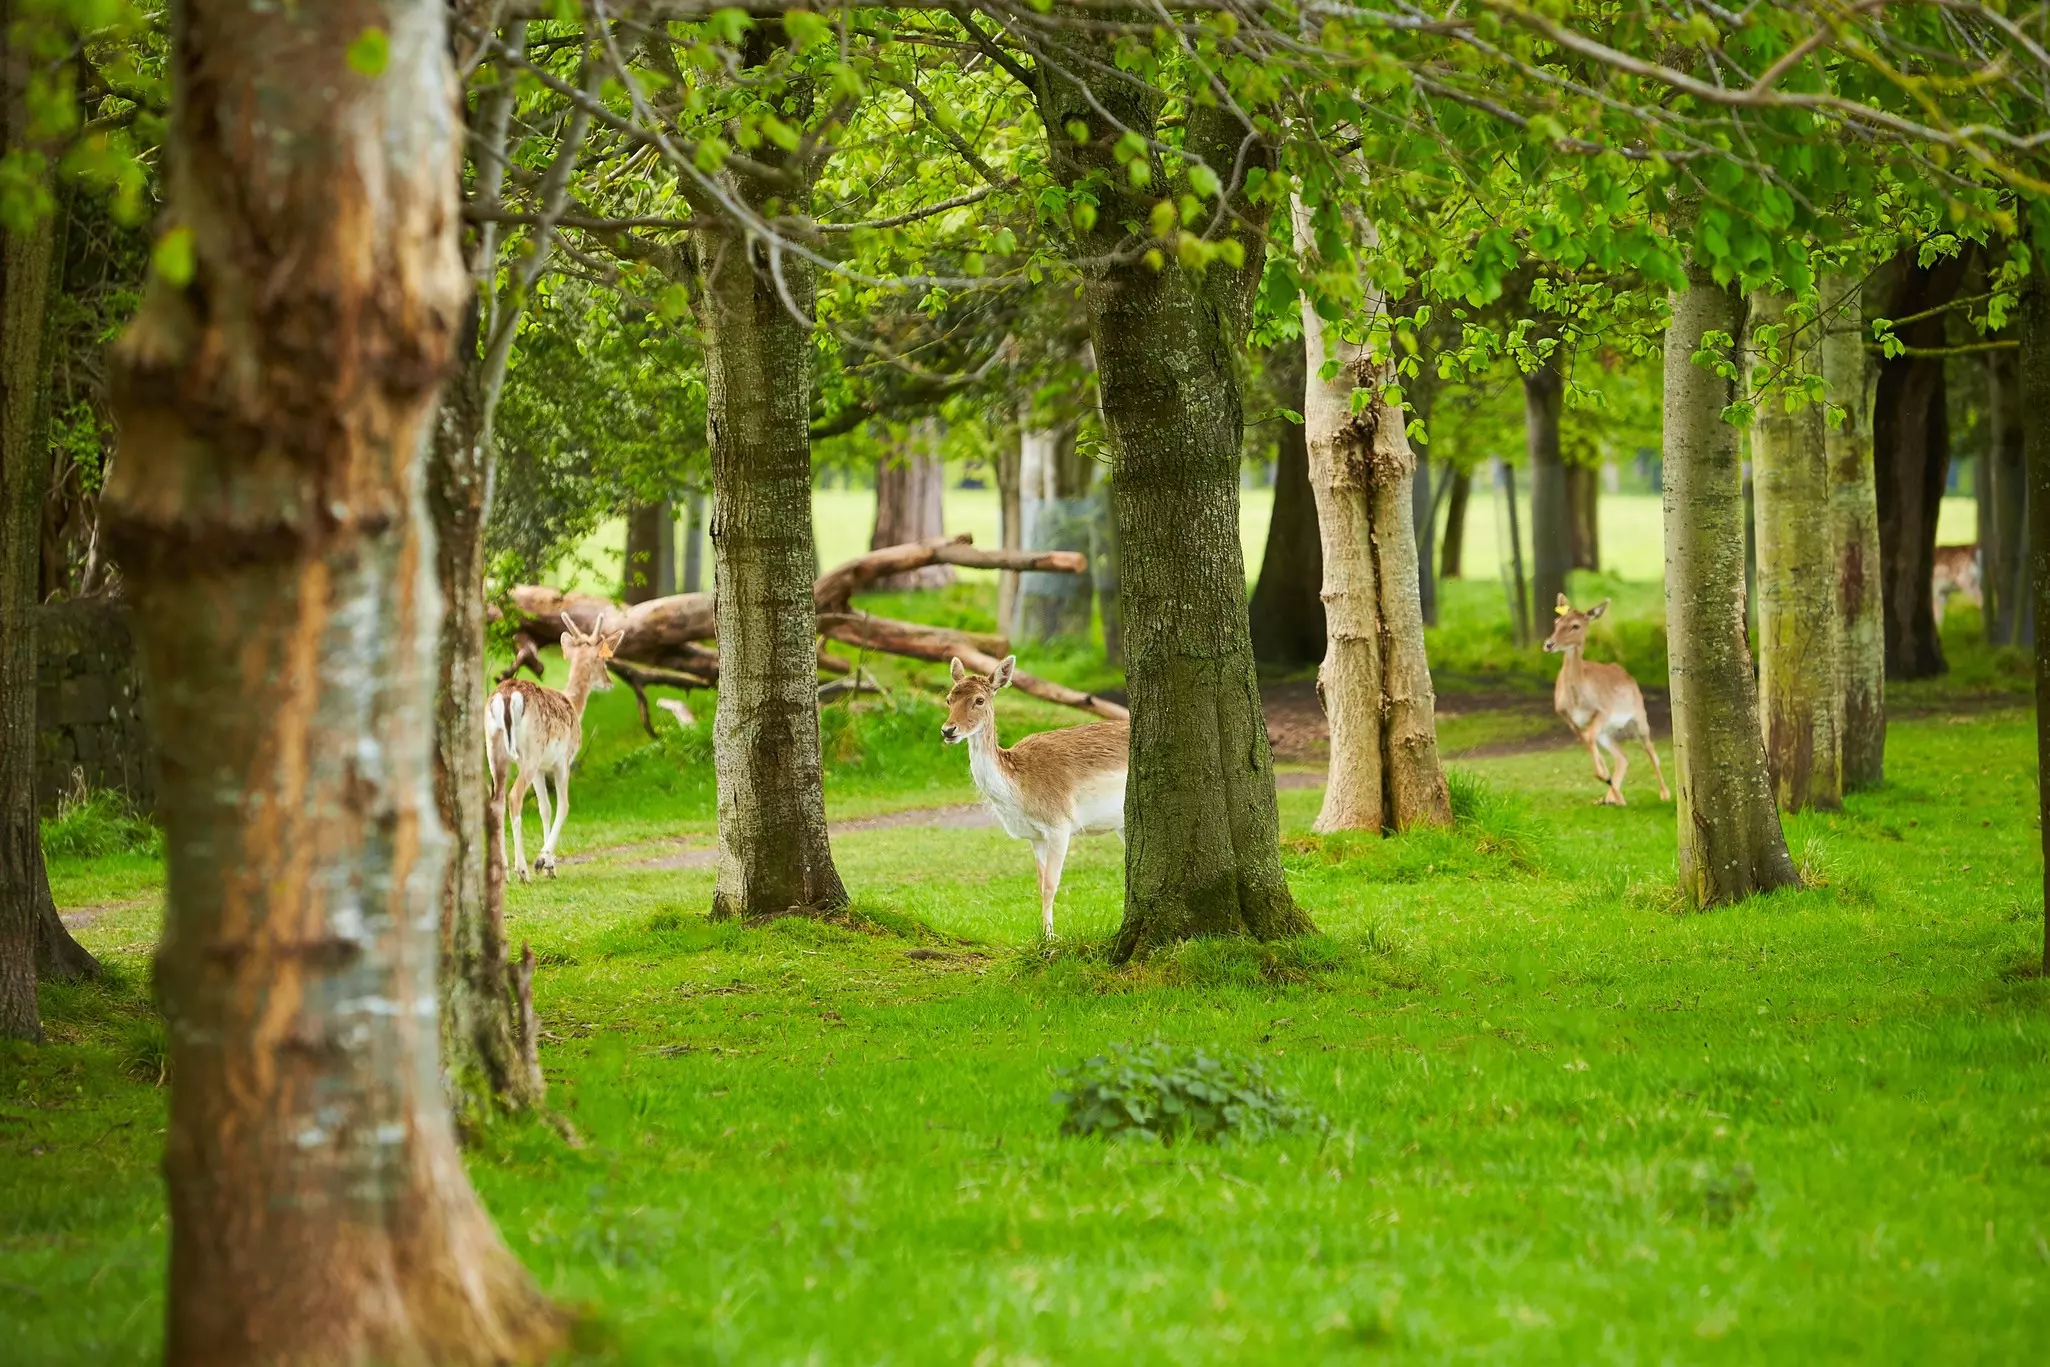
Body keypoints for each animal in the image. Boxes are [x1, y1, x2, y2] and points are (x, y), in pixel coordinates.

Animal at [485, 613, 622, 881]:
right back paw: (522, 870)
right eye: (604, 661)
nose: (610, 683)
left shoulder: (542, 768)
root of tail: (505, 697)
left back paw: (503, 871)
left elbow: (545, 808)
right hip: (529, 752)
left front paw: (549, 865)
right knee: (514, 797)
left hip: (494, 748)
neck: (573, 704)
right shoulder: (563, 761)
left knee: (496, 801)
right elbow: (564, 806)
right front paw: (543, 862)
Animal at [941, 656, 1128, 938]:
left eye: (979, 700)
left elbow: (1051, 884)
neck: (1020, 792)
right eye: (948, 699)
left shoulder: (1060, 824)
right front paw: (1043, 934)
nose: (948, 730)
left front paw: (1051, 938)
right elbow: (1040, 885)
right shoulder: (1035, 836)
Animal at [1542, 595, 1669, 807]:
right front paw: (1605, 779)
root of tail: (1627, 674)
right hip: (1608, 732)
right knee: (1623, 756)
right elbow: (1587, 741)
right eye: (1556, 621)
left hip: (1639, 717)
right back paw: (1614, 798)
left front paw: (1604, 777)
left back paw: (1664, 794)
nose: (1548, 644)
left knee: (1651, 751)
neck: (1577, 699)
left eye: (1575, 626)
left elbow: (1589, 739)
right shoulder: (1569, 719)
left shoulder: (1604, 710)